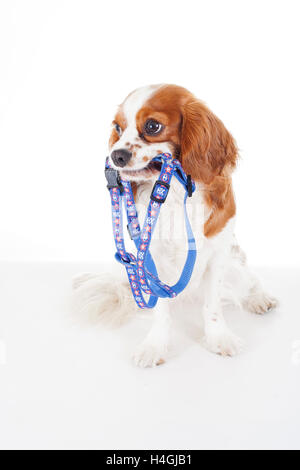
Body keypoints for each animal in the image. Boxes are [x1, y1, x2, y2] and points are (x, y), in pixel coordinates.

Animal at [72, 85, 276, 368]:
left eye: (152, 126)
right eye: (117, 128)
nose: (116, 155)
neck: (176, 193)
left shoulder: (218, 253)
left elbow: (213, 305)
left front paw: (219, 338)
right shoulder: (150, 259)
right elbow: (160, 311)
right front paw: (155, 346)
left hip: (235, 259)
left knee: (248, 278)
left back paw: (259, 298)